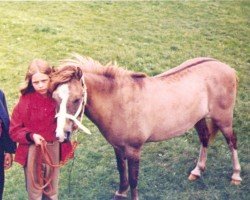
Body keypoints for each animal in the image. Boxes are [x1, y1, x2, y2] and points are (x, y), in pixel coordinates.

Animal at [49, 55, 242, 200]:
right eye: (54, 97)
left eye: (76, 99)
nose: (61, 134)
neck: (119, 102)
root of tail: (226, 68)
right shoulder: (117, 147)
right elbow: (122, 172)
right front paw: (120, 193)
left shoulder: (134, 149)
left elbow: (134, 179)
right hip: (199, 119)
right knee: (204, 138)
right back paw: (197, 171)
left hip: (223, 119)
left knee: (232, 141)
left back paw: (236, 175)